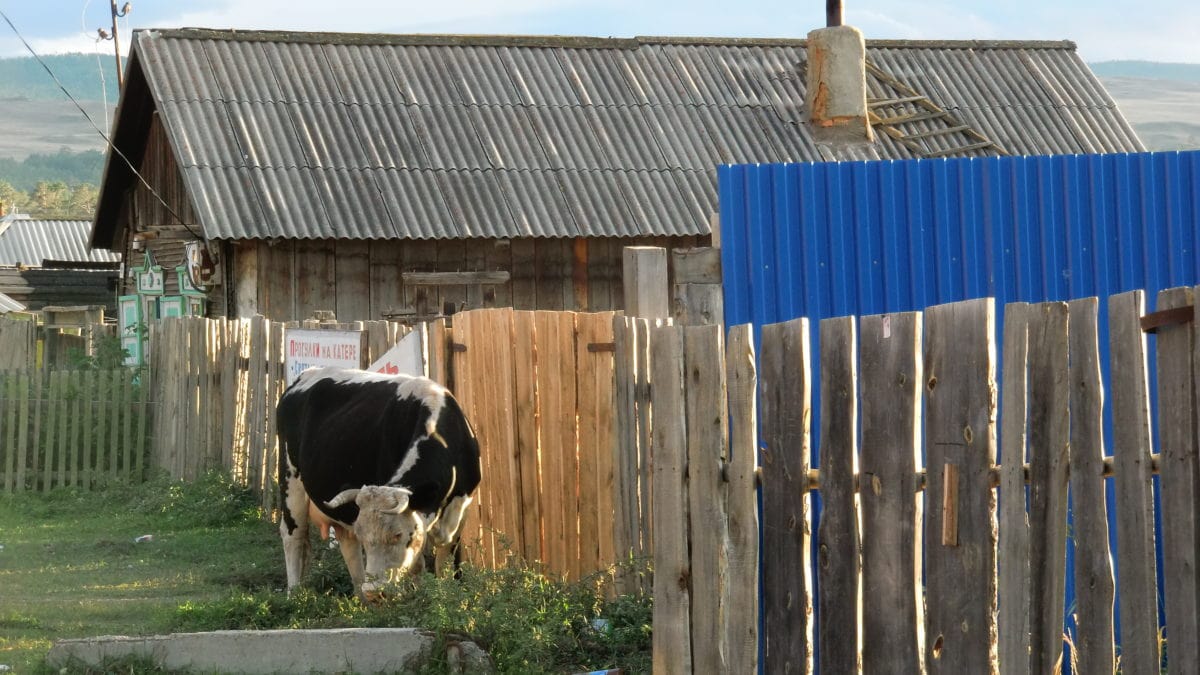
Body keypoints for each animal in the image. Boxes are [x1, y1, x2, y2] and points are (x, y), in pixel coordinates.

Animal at [278, 365, 480, 595]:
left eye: (398, 535)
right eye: (365, 537)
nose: (374, 591)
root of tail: (307, 374)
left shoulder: (461, 511)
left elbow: (444, 564)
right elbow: (416, 566)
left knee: (347, 546)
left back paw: (361, 596)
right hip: (291, 482)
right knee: (294, 535)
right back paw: (295, 593)